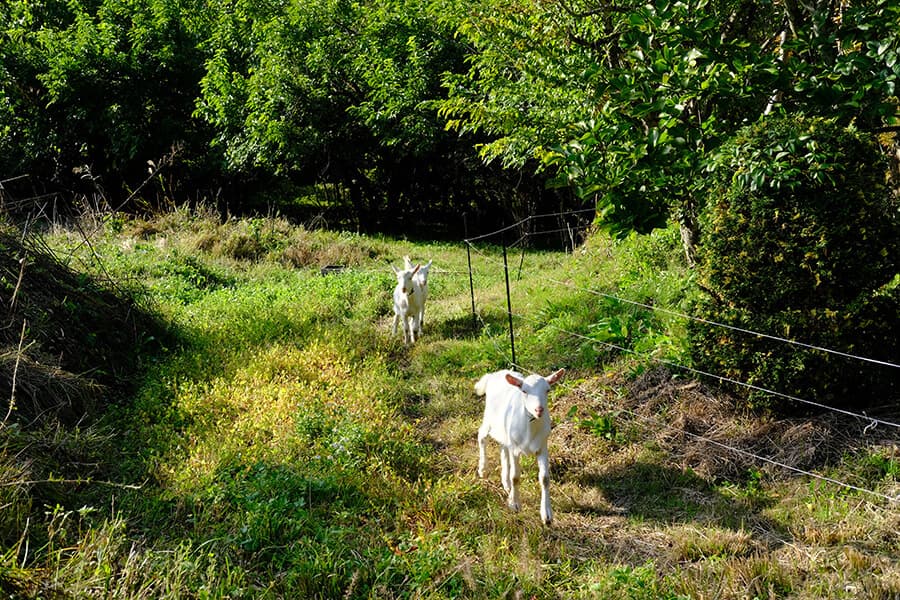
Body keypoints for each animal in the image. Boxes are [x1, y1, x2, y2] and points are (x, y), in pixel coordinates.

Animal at [474, 366, 568, 524]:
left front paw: (547, 514)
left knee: (503, 449)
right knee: (482, 436)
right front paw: (515, 504)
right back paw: (483, 469)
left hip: (504, 431)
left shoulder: (542, 446)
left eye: (548, 390)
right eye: (524, 391)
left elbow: (545, 478)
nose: (539, 410)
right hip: (489, 418)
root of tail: (493, 375)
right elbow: (515, 476)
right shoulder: (515, 449)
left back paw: (506, 484)